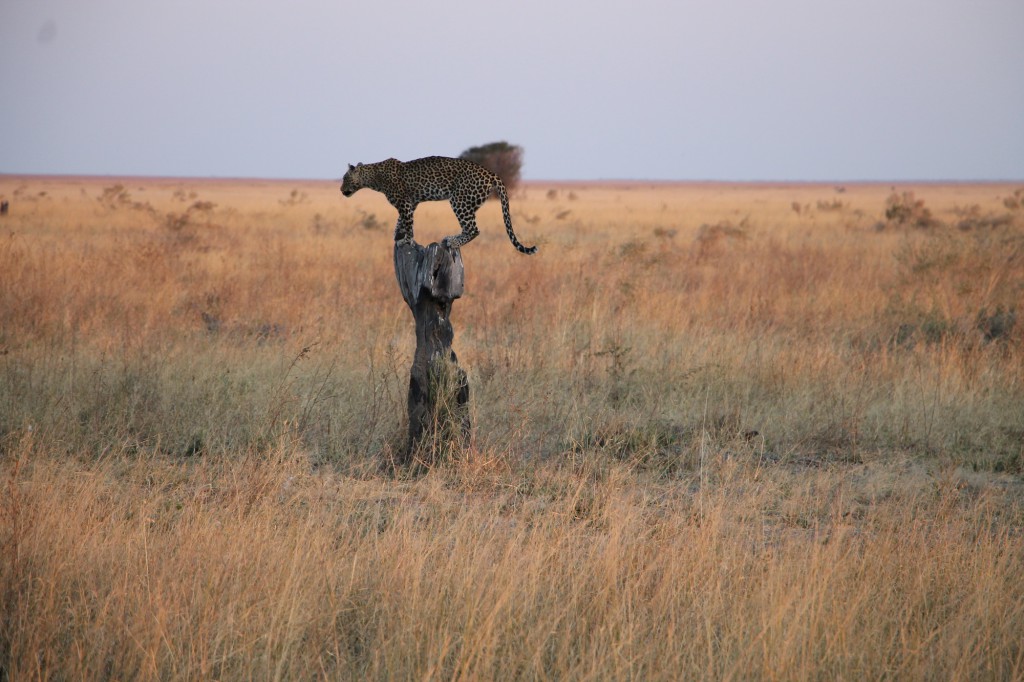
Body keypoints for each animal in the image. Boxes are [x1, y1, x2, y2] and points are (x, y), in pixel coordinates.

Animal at [342, 155, 540, 253]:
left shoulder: (405, 203)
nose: (341, 189)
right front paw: (398, 235)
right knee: (470, 227)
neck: (373, 177)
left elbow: (408, 223)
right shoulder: (411, 203)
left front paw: (406, 240)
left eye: (345, 179)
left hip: (459, 200)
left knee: (473, 229)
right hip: (470, 202)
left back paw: (452, 241)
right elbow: (401, 221)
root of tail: (490, 173)